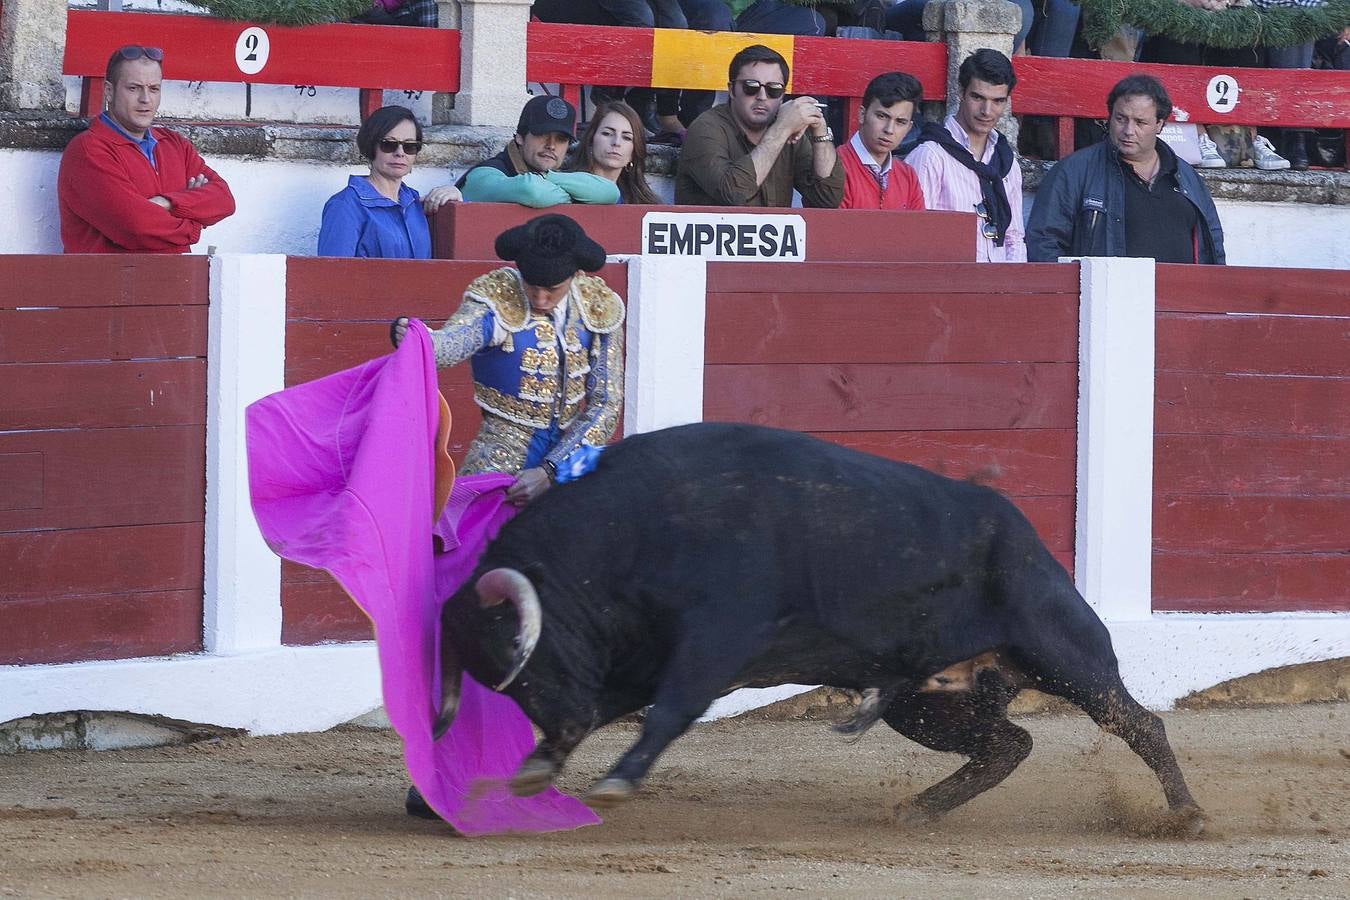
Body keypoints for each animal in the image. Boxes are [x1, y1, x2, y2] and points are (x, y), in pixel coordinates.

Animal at [437, 423, 1209, 831]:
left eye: (527, 654)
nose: (555, 729)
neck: (637, 527)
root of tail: (1025, 533)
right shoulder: (637, 662)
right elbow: (623, 709)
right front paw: (539, 768)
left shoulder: (712, 644)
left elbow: (669, 713)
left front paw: (613, 782)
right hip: (925, 704)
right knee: (1007, 744)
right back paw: (919, 810)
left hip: (1065, 652)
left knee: (1136, 722)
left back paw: (1188, 814)